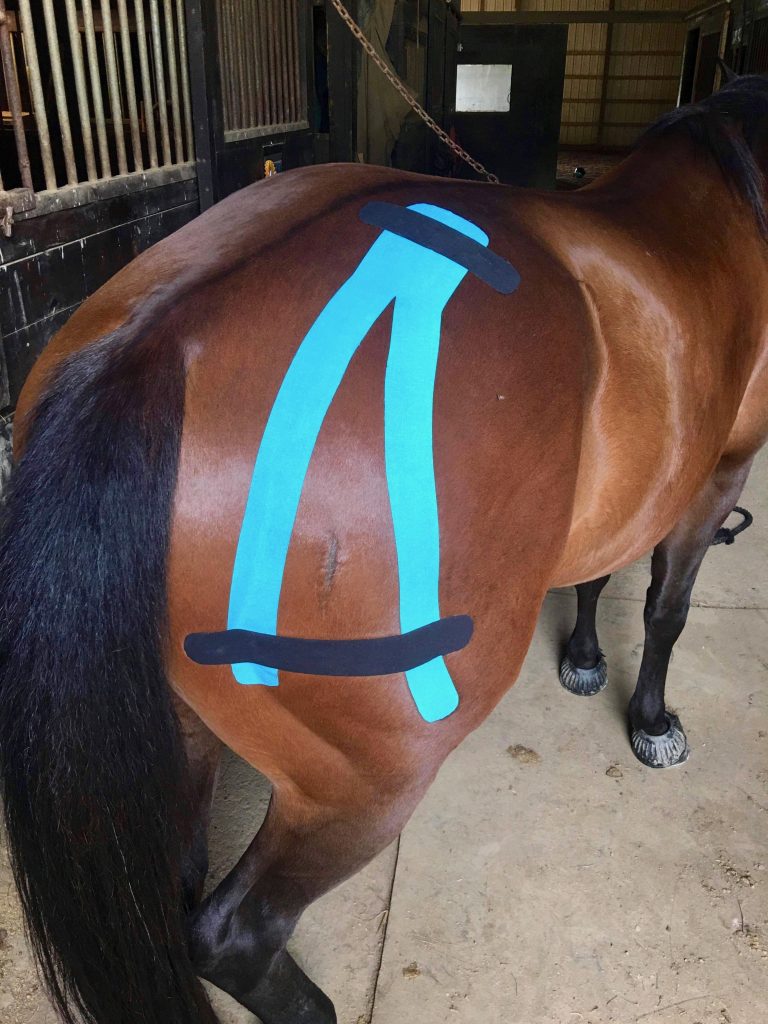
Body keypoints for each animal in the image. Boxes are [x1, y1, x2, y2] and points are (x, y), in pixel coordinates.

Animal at [1, 74, 766, 1024]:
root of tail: (150, 349)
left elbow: (597, 578)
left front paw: (586, 660)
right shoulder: (722, 470)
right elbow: (666, 609)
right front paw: (653, 721)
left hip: (180, 735)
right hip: (361, 784)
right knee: (232, 934)